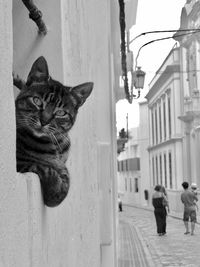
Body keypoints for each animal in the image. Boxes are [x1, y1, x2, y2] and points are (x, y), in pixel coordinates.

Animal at [15, 56, 93, 207]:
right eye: (37, 101)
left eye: (61, 113)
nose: (44, 121)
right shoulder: (20, 162)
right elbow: (43, 167)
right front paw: (54, 190)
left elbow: (65, 175)